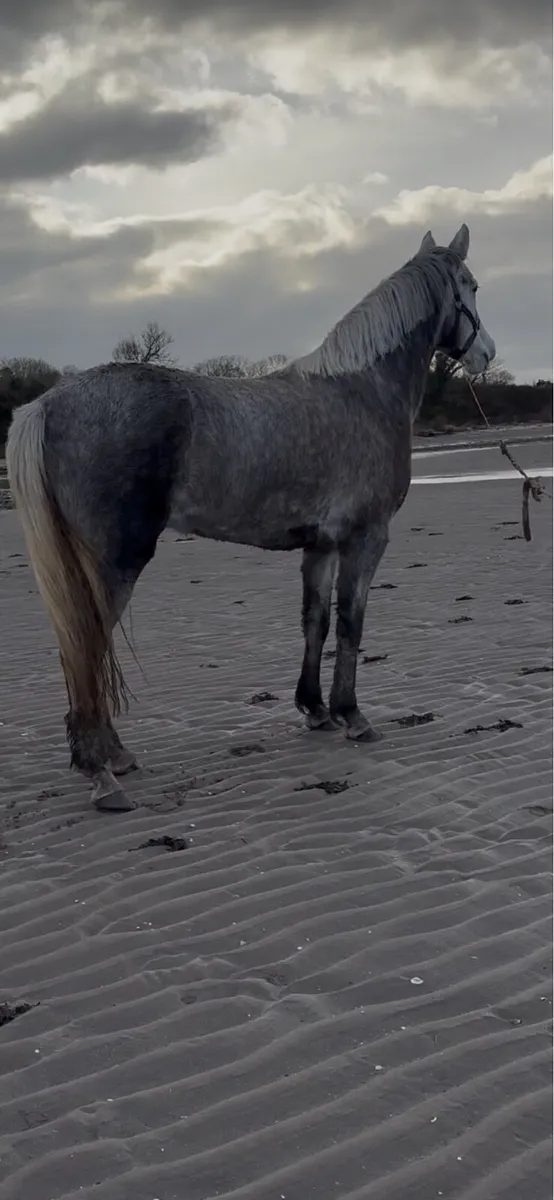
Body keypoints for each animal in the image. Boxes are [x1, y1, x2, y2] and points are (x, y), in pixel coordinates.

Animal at [6, 223, 495, 812]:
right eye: (471, 286)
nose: (486, 354)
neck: (362, 391)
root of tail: (48, 403)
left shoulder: (320, 545)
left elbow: (316, 620)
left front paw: (316, 710)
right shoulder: (366, 538)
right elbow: (352, 623)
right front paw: (352, 715)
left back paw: (115, 757)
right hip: (114, 563)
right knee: (87, 648)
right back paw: (102, 774)